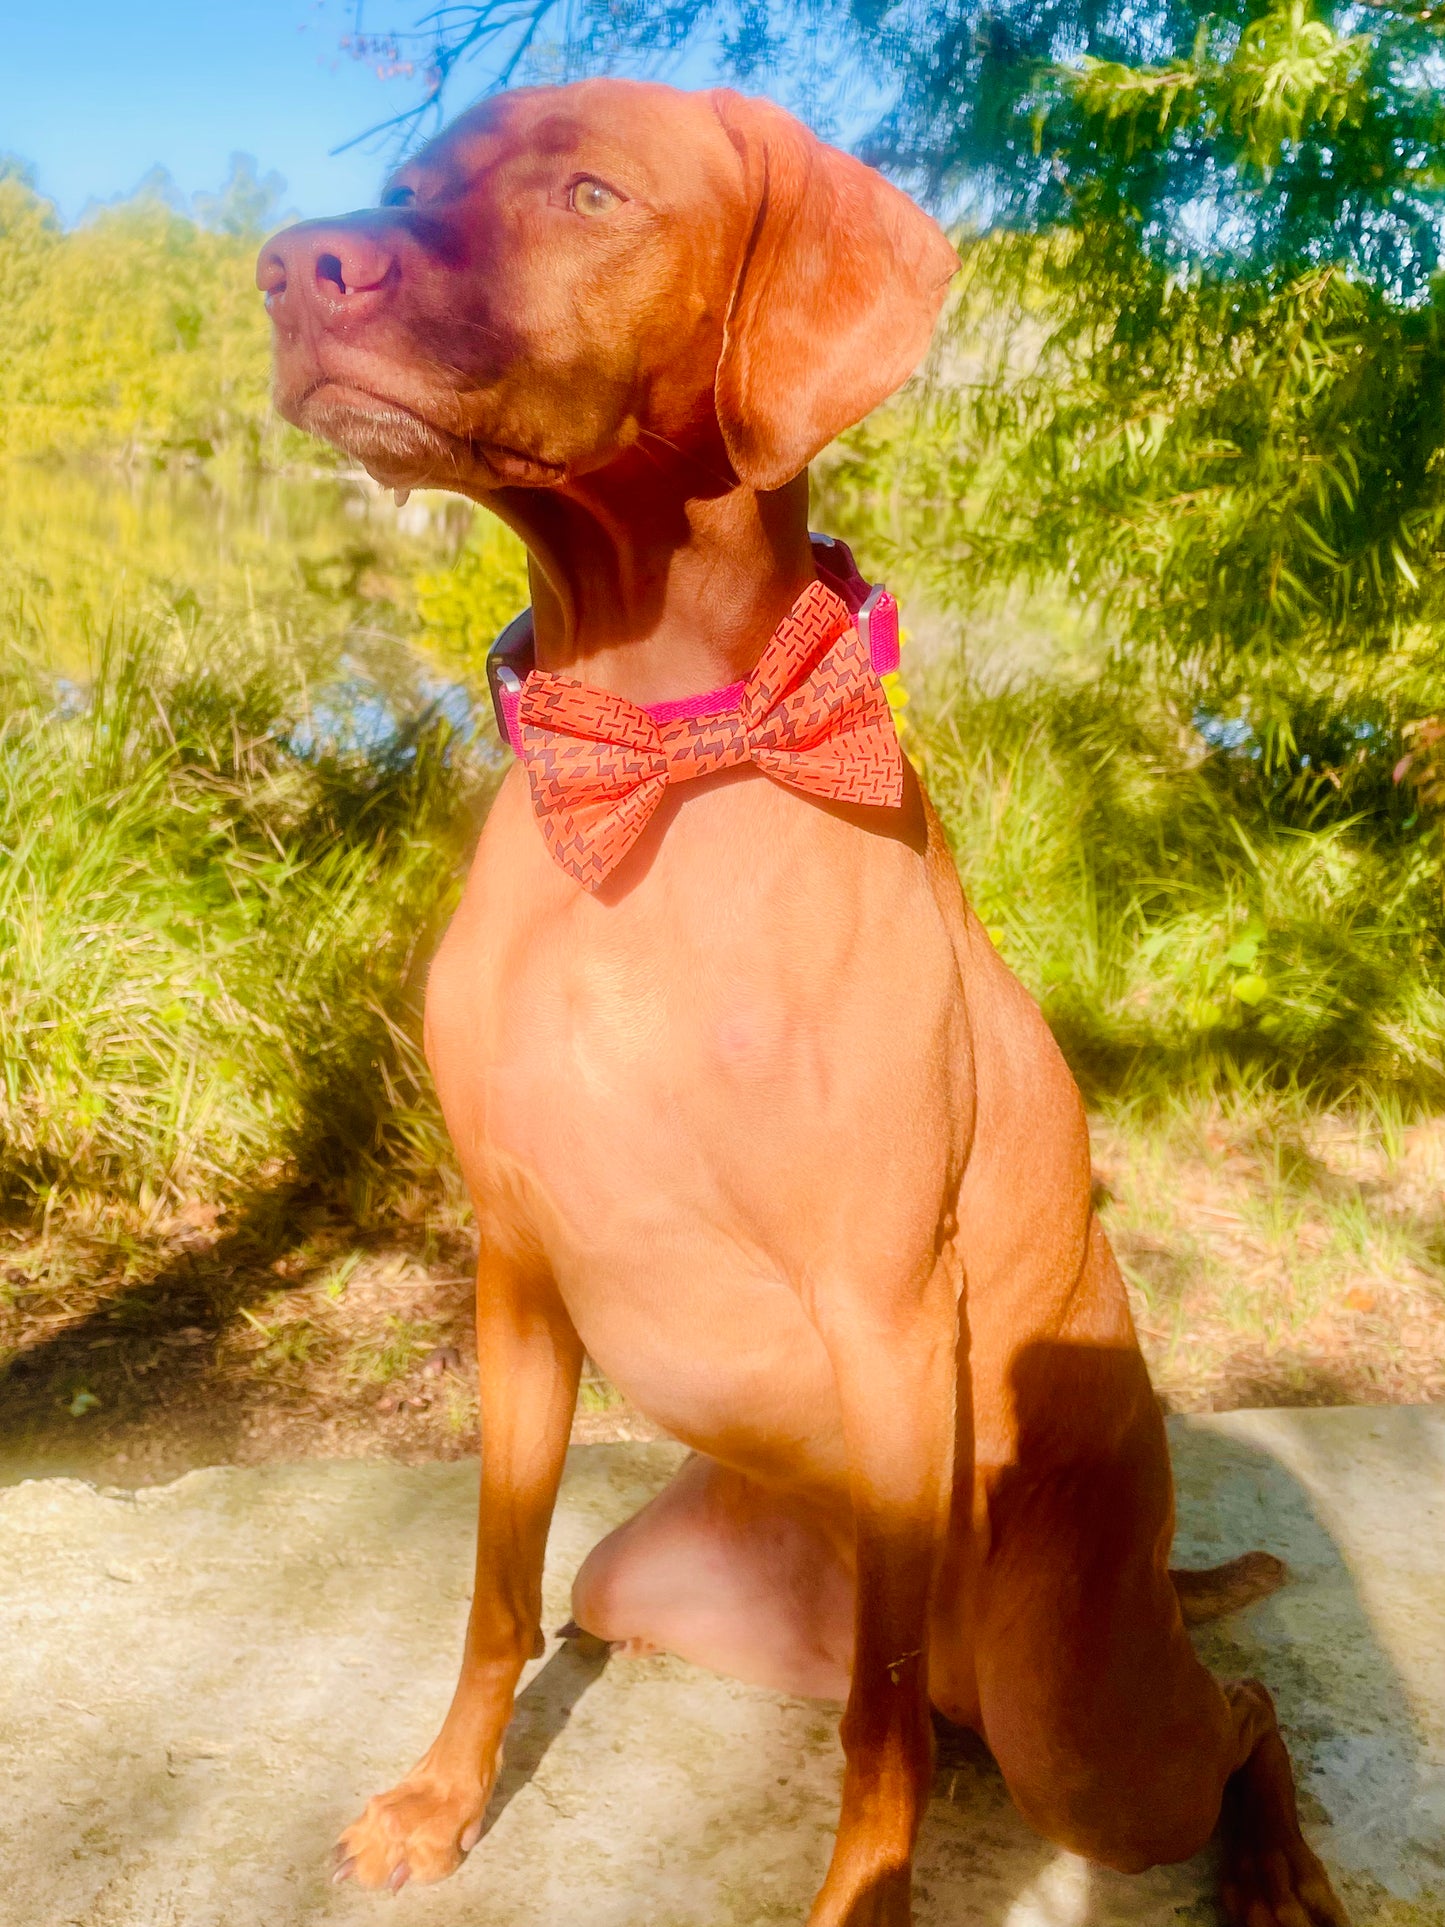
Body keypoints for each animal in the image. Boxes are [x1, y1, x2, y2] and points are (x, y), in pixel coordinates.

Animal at [258, 75, 1348, 1927]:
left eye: (591, 191)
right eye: (409, 182)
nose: (286, 265)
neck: (668, 746)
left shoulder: (889, 1316)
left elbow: (875, 1721)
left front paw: (865, 1895)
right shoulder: (516, 1273)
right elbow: (494, 1590)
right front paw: (444, 1795)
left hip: (1084, 1732)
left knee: (1226, 1710)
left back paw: (1273, 1865)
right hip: (651, 1575)